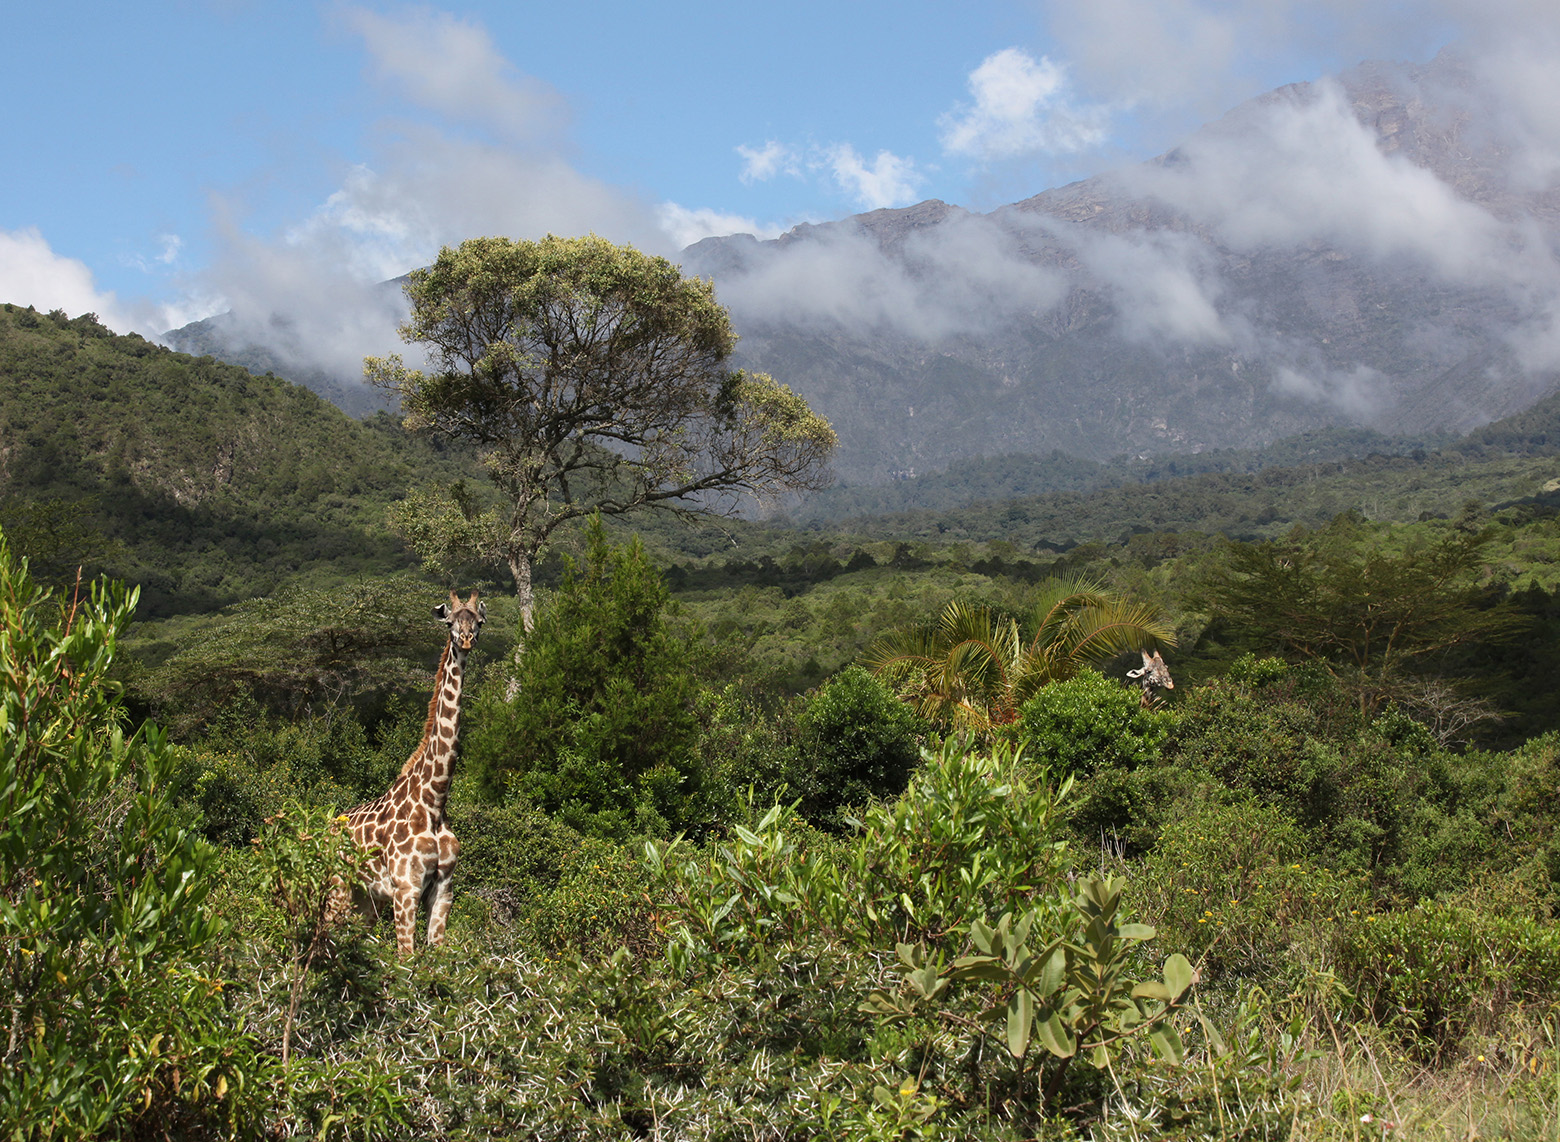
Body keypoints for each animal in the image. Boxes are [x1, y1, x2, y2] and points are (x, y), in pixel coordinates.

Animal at [340, 589, 485, 955]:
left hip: (366, 901)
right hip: (337, 886)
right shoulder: (406, 889)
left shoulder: (444, 890)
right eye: (449, 622)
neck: (434, 800)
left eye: (479, 621)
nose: (466, 640)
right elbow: (407, 957)